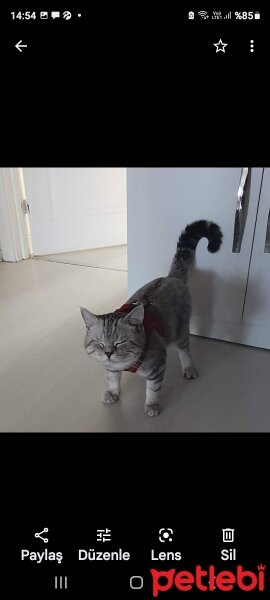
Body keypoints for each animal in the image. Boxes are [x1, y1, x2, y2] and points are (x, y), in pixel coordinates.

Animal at [80, 220, 224, 418]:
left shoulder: (157, 365)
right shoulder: (112, 369)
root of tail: (172, 277)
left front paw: (151, 406)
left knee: (185, 351)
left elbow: (152, 390)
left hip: (180, 331)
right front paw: (113, 393)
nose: (108, 353)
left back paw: (188, 368)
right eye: (99, 343)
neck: (126, 365)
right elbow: (113, 380)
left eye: (120, 343)